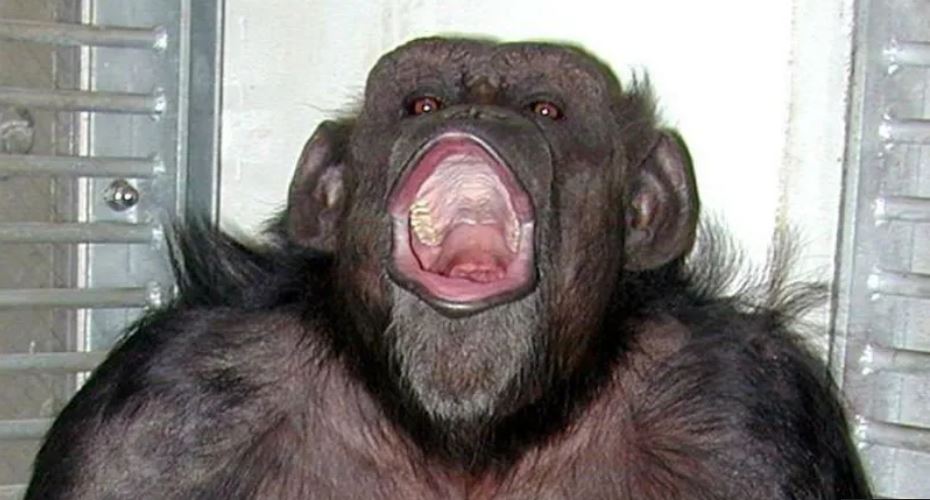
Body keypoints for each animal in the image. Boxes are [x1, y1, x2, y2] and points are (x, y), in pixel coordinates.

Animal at [26, 37, 871, 499]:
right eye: (423, 103)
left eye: (545, 111)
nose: (477, 108)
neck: (468, 440)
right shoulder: (161, 413)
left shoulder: (751, 423)